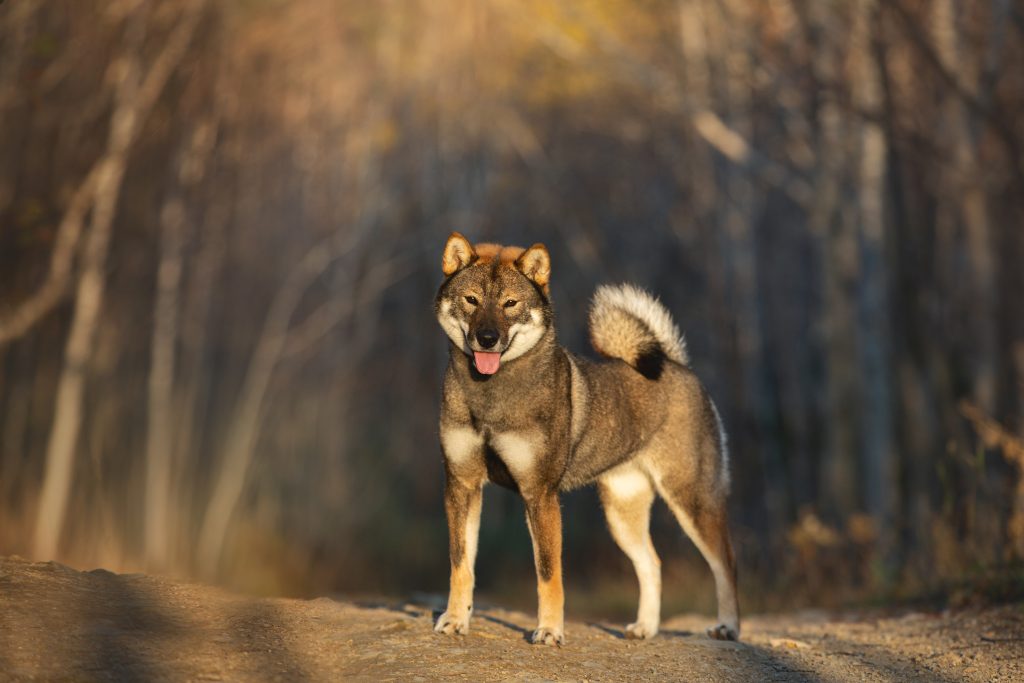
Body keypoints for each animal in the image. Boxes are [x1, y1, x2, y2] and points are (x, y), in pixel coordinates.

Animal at [430, 235, 737, 647]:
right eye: (471, 300)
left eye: (510, 303)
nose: (487, 338)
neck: (489, 394)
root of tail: (677, 365)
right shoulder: (462, 485)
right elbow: (461, 563)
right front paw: (455, 619)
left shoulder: (539, 494)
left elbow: (548, 573)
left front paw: (549, 630)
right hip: (621, 514)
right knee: (651, 564)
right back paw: (645, 627)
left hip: (692, 500)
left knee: (725, 563)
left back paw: (728, 627)